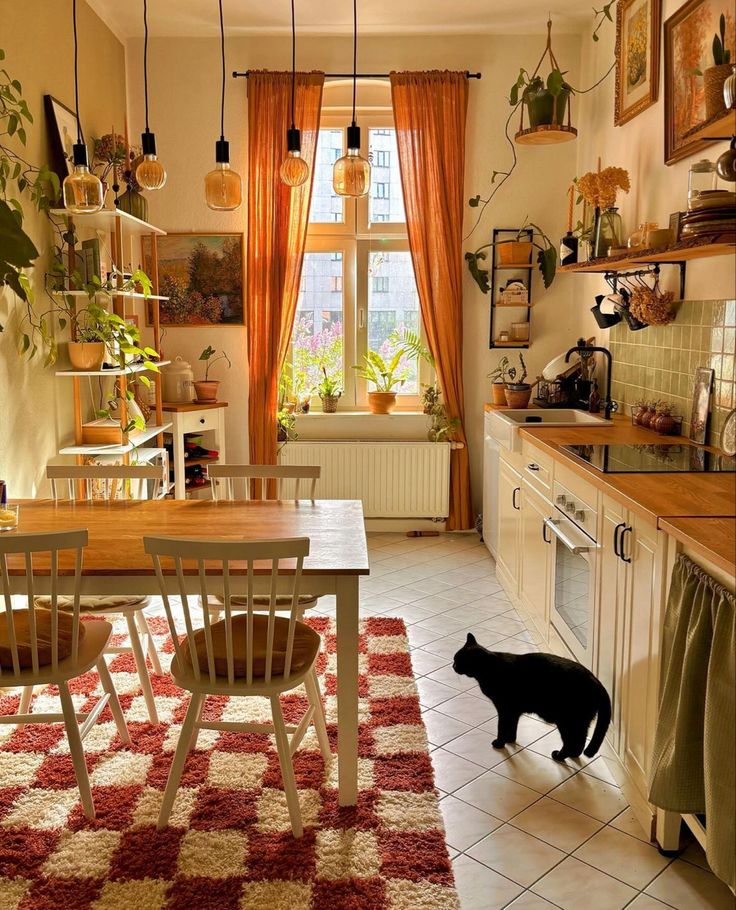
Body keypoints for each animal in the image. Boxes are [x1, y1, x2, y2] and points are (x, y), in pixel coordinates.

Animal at [452, 636, 612, 764]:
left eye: (458, 660)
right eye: (455, 659)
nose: (452, 666)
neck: (490, 669)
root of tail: (596, 681)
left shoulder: (505, 708)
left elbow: (502, 727)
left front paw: (499, 743)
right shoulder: (513, 711)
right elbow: (512, 726)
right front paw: (510, 740)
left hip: (568, 721)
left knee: (572, 742)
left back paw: (559, 756)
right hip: (580, 722)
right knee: (580, 741)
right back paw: (572, 756)